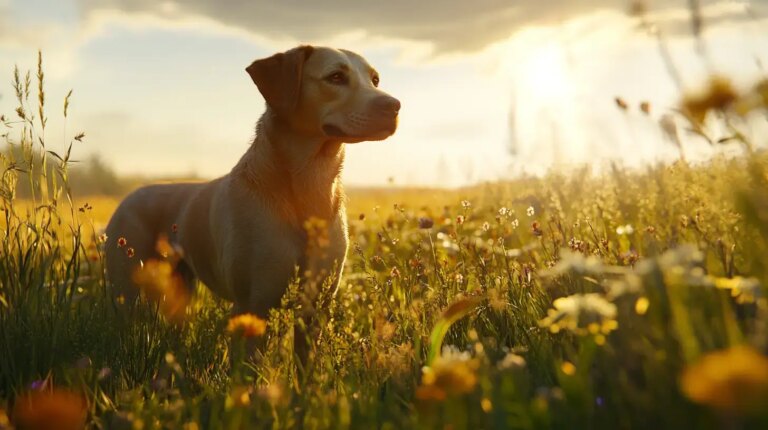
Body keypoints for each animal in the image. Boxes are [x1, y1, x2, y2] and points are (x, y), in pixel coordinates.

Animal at [106, 46, 402, 340]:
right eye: (336, 77)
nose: (394, 105)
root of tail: (129, 196)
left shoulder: (316, 307)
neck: (308, 187)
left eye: (375, 80)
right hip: (126, 286)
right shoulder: (253, 304)